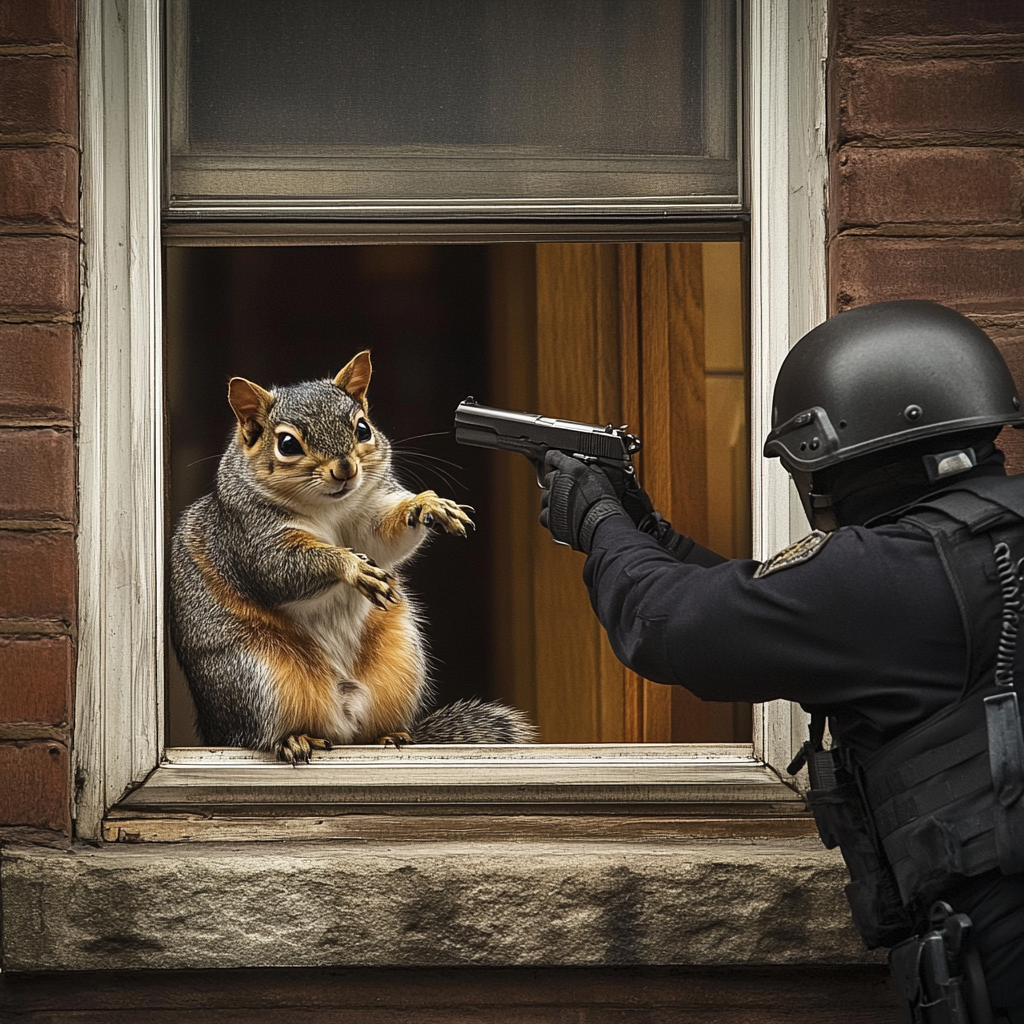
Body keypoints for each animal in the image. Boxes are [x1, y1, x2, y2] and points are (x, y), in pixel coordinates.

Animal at [167, 352, 536, 761]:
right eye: (287, 444)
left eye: (362, 428)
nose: (345, 468)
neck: (329, 508)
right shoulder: (248, 536)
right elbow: (278, 569)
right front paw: (353, 566)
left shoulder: (368, 512)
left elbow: (383, 539)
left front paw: (427, 503)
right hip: (254, 675)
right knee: (259, 734)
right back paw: (292, 739)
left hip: (401, 658)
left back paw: (390, 736)